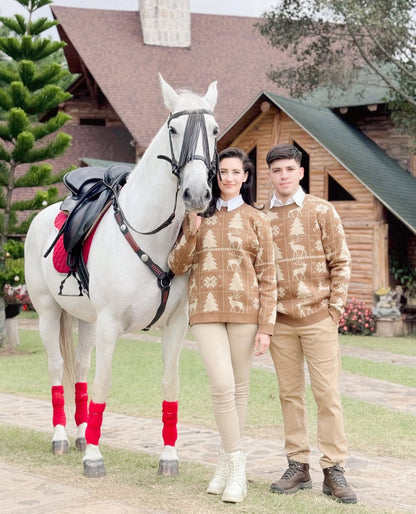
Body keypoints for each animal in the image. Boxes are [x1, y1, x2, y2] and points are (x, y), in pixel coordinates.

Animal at [24, 75, 219, 476]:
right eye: (174, 129)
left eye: (214, 130)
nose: (196, 193)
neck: (150, 235)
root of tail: (40, 215)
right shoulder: (111, 323)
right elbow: (104, 382)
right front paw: (94, 457)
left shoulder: (175, 324)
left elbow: (170, 383)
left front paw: (168, 457)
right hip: (49, 312)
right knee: (57, 368)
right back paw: (61, 437)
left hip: (85, 319)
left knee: (80, 368)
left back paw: (81, 433)